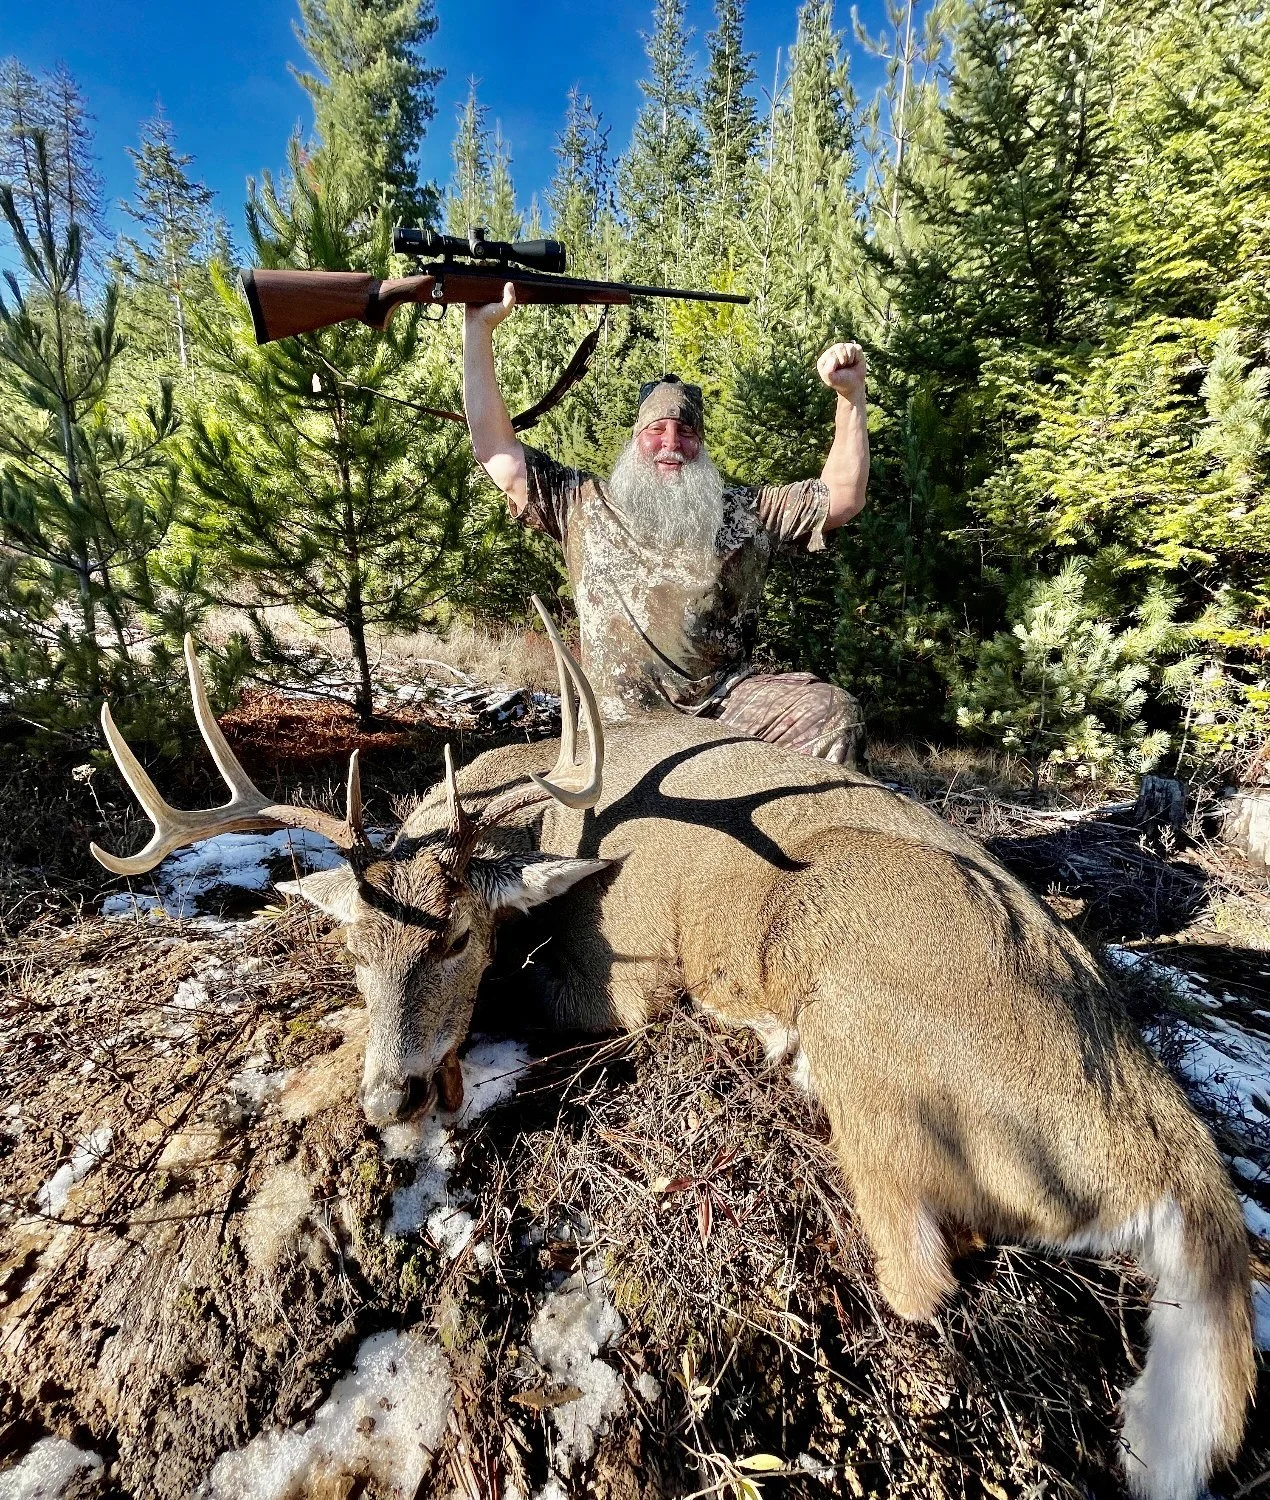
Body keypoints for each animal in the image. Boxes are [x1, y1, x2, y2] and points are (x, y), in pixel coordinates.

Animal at [91, 601, 1253, 1500]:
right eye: (349, 943)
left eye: (460, 934)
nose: (395, 1095)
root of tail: (1176, 1171)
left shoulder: (615, 981)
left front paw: (305, 1090)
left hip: (859, 984)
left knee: (922, 1273)